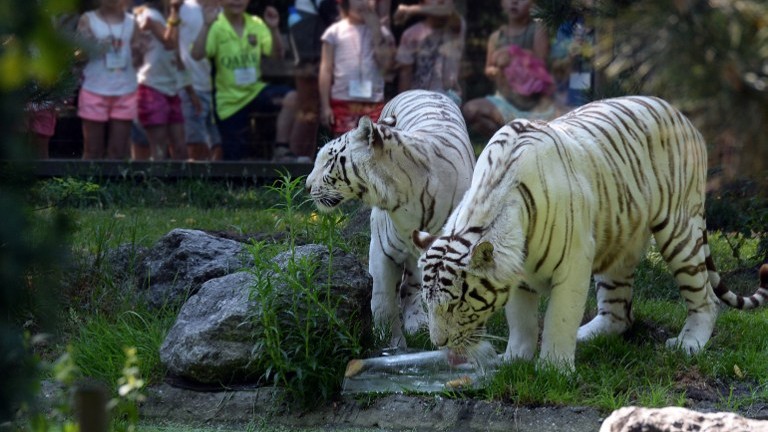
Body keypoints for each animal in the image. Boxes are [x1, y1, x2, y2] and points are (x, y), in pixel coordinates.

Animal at [306, 90, 476, 347]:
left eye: (328, 161)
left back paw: (416, 322)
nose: (306, 185)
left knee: (412, 285)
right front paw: (393, 345)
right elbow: (384, 302)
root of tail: (421, 90)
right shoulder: (383, 251)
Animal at [412, 95, 768, 370]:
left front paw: (553, 370)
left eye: (455, 305)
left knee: (706, 297)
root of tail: (682, 115)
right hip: (620, 240)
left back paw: (689, 343)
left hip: (680, 230)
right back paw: (588, 334)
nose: (439, 342)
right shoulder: (516, 273)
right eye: (428, 304)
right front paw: (515, 359)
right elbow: (521, 320)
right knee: (618, 310)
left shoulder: (572, 265)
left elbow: (559, 319)